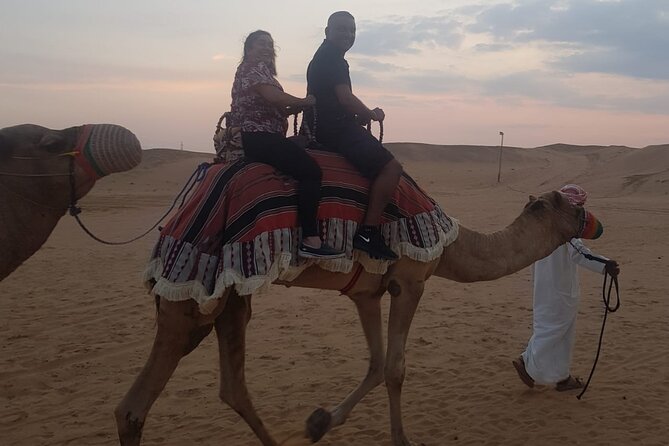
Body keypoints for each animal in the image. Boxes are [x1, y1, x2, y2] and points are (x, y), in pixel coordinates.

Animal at [115, 186, 600, 446]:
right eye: (571, 204)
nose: (594, 221)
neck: (451, 246)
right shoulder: (410, 281)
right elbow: (396, 368)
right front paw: (403, 439)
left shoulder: (365, 292)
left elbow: (376, 363)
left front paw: (320, 421)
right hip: (192, 298)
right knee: (134, 406)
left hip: (226, 302)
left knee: (231, 387)